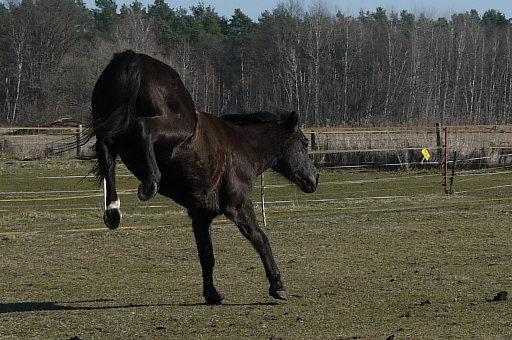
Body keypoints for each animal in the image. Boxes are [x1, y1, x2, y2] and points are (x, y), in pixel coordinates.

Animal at [90, 51, 318, 306]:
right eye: (304, 143)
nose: (314, 178)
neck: (243, 148)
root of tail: (132, 57)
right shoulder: (238, 205)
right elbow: (260, 239)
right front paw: (277, 286)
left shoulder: (201, 215)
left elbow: (207, 255)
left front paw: (212, 293)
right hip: (175, 127)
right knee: (142, 128)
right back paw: (150, 182)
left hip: (110, 130)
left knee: (105, 149)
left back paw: (113, 210)